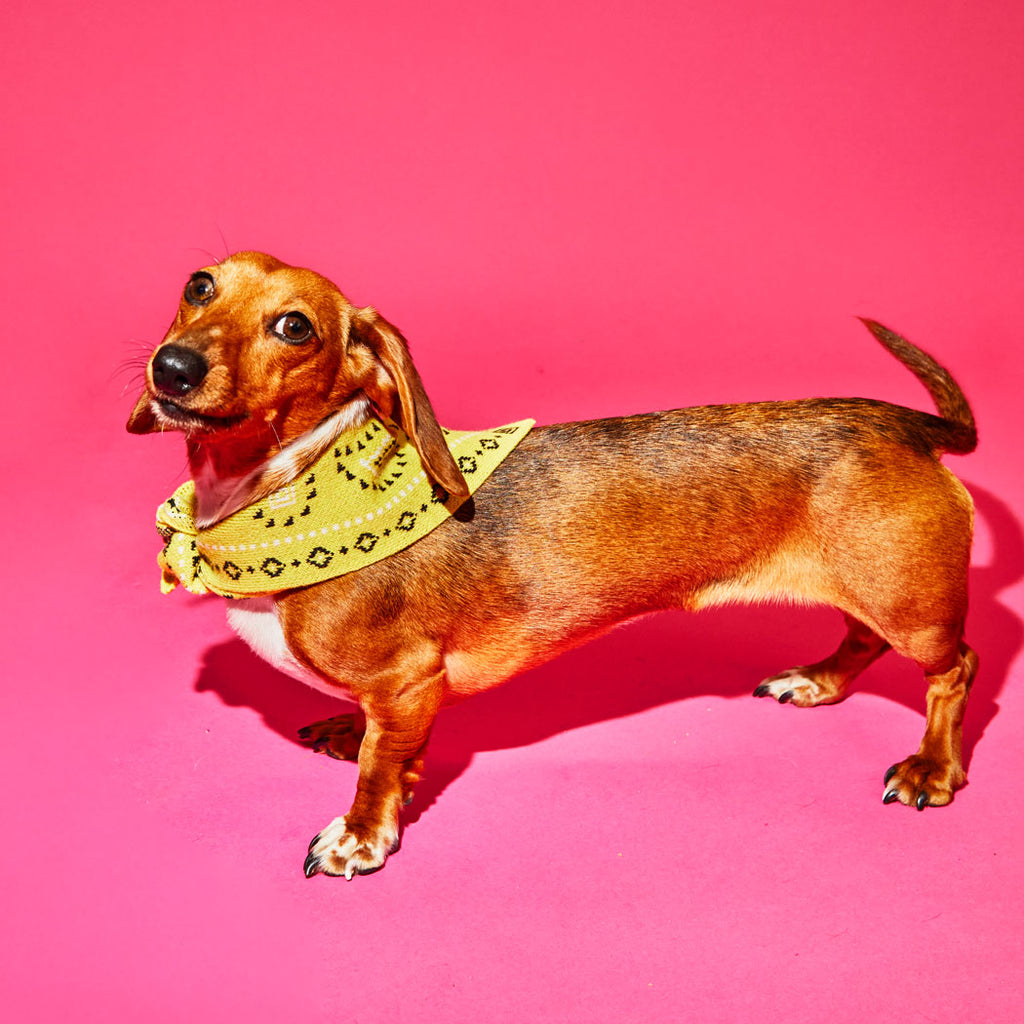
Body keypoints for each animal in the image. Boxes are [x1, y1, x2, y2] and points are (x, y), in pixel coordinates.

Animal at [128, 249, 974, 880]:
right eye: (199, 285)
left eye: (295, 326)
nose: (172, 368)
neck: (293, 489)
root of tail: (900, 422)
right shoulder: (400, 697)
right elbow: (383, 744)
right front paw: (358, 738)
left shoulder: (410, 681)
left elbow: (377, 771)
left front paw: (360, 837)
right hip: (877, 589)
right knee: (861, 638)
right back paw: (819, 681)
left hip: (913, 605)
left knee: (955, 669)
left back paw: (931, 770)